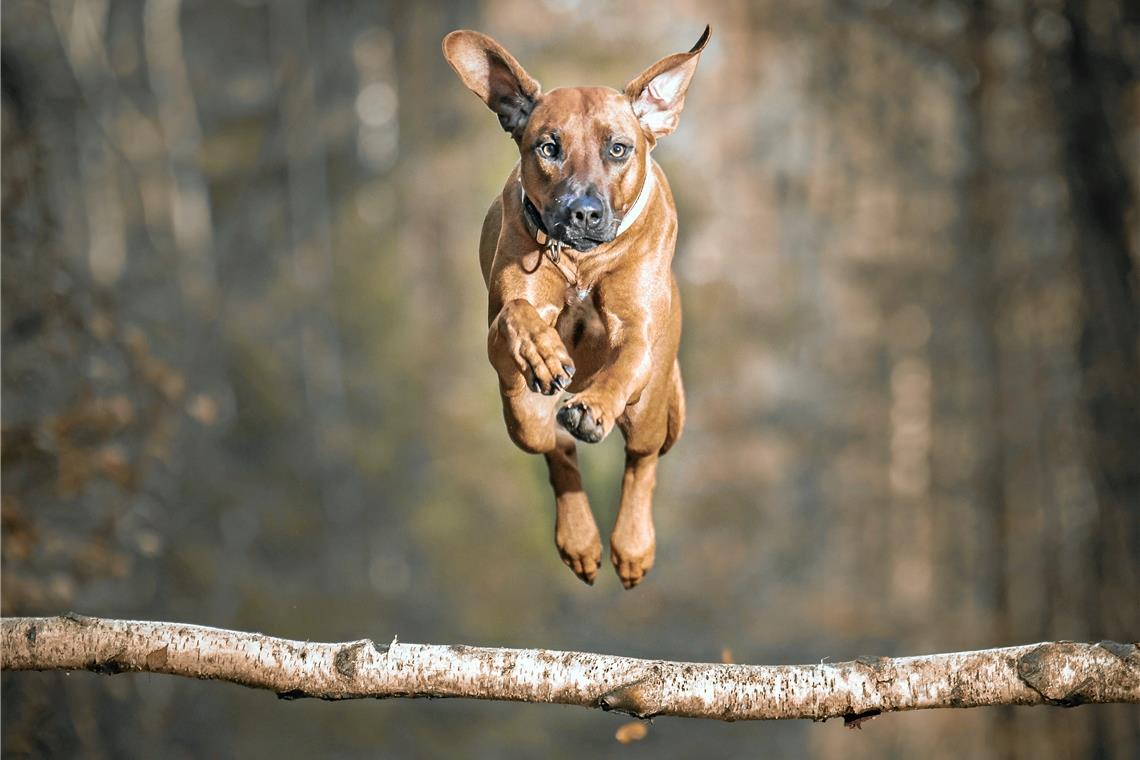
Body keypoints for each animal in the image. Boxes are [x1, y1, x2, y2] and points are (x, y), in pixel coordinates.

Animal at [440, 25, 706, 587]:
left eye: (618, 149)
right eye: (549, 147)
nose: (582, 212)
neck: (582, 261)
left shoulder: (638, 334)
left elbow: (623, 365)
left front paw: (593, 406)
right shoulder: (502, 323)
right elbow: (515, 314)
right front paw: (543, 352)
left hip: (652, 405)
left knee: (642, 460)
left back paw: (631, 543)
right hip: (521, 415)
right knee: (556, 450)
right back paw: (580, 538)